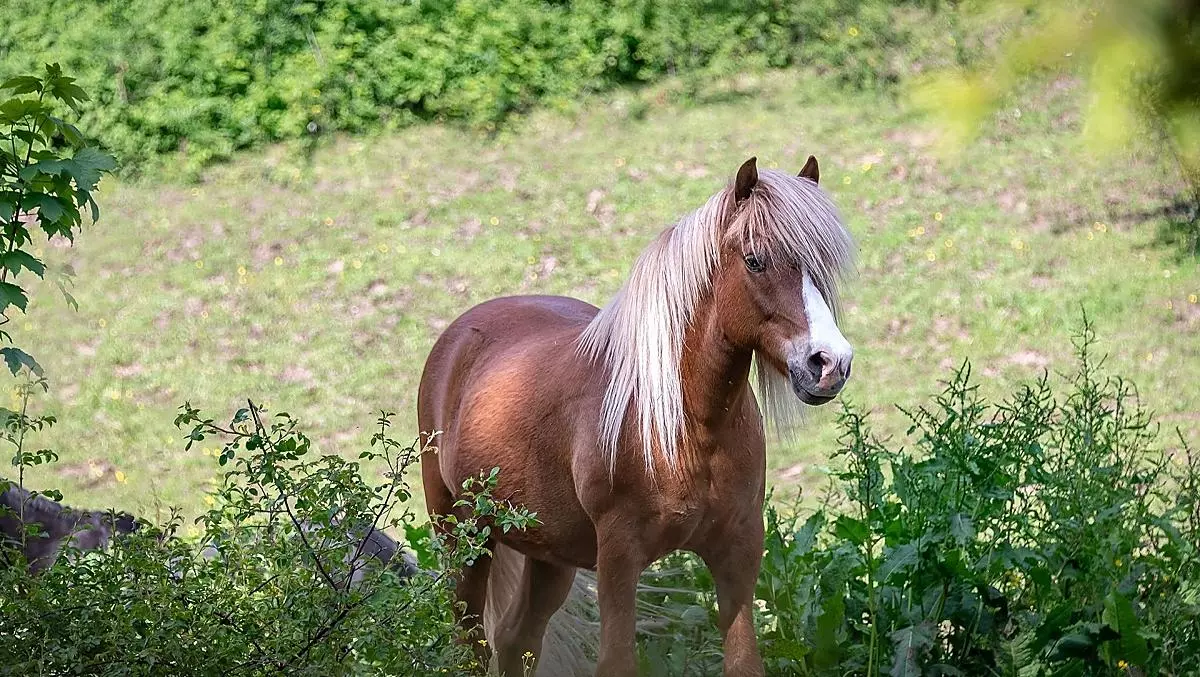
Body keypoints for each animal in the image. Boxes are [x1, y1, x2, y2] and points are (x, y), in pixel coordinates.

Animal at [418, 155, 855, 676]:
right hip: (463, 539)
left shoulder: (739, 549)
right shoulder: (619, 560)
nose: (830, 363)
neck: (687, 428)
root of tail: (458, 336)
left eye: (823, 265)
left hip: (550, 556)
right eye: (754, 260)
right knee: (472, 644)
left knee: (514, 640)